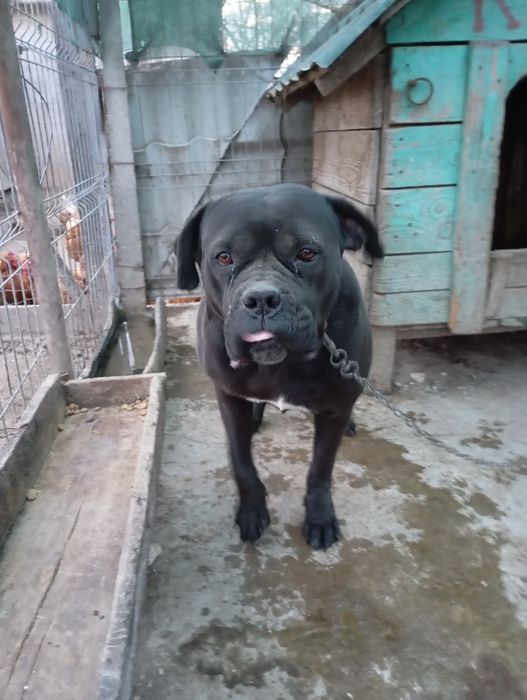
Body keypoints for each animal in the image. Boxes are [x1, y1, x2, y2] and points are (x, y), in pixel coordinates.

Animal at [176, 183, 383, 549]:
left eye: (307, 253)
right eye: (224, 257)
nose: (261, 298)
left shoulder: (333, 410)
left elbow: (321, 468)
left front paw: (319, 517)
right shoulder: (228, 397)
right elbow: (242, 462)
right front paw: (251, 512)